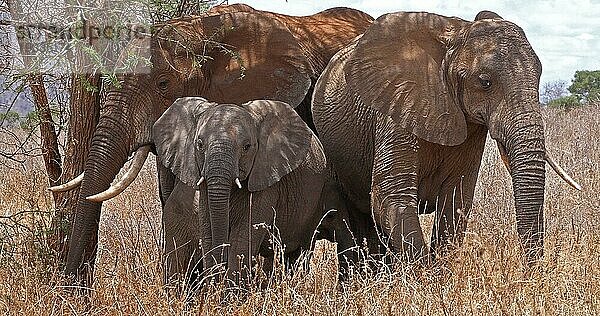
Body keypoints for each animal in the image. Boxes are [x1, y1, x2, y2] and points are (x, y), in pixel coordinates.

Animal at [152, 97, 352, 288]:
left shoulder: (266, 180)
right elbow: (208, 231)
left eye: (247, 146)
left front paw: (228, 295)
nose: (216, 282)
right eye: (199, 145)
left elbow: (242, 239)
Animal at [312, 11, 580, 262]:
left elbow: (456, 199)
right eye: (485, 82)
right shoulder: (397, 103)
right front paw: (425, 278)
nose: (531, 271)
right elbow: (391, 196)